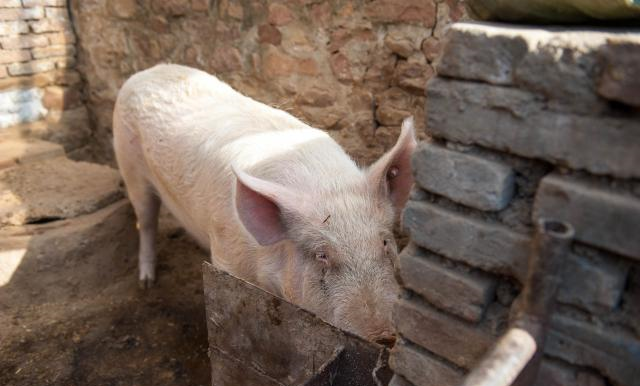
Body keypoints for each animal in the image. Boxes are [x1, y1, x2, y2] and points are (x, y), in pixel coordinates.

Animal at [112, 64, 418, 344]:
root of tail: (145, 72)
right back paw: (146, 281)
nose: (384, 336)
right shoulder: (226, 256)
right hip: (130, 166)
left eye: (385, 243)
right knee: (146, 221)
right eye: (321, 255)